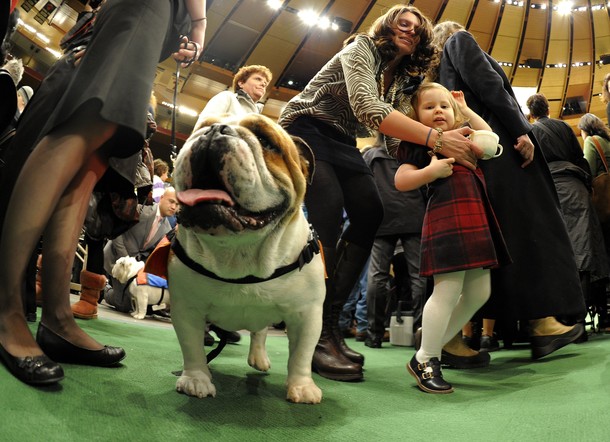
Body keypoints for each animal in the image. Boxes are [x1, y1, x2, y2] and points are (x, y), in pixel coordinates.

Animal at [166, 114, 326, 404]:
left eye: (265, 140)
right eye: (200, 127)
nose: (214, 130)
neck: (238, 249)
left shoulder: (306, 313)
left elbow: (301, 354)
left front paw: (302, 386)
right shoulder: (187, 309)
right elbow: (192, 347)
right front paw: (196, 379)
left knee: (259, 331)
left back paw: (259, 358)